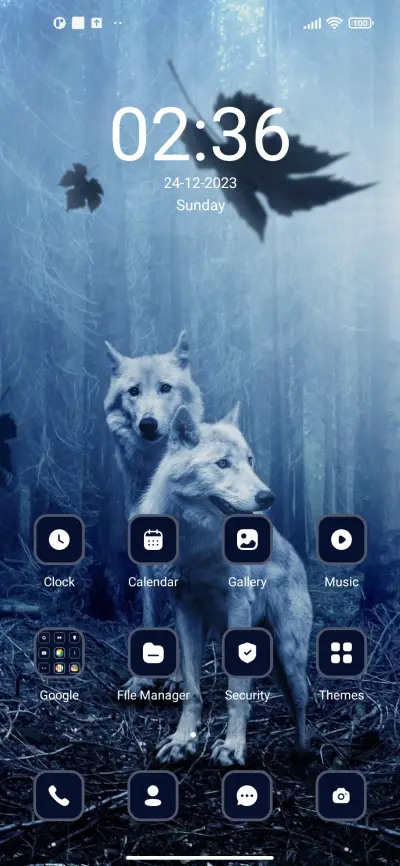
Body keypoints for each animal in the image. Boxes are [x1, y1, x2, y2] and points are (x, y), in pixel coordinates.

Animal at [104, 333, 203, 690]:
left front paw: (178, 678)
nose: (148, 424)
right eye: (133, 391)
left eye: (165, 387)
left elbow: (181, 625)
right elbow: (150, 618)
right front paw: (142, 678)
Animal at [139, 405, 313, 766]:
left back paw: (303, 752)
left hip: (290, 654)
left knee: (302, 702)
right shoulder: (185, 609)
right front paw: (182, 741)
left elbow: (237, 694)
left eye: (250, 460)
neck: (197, 545)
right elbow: (192, 690)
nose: (268, 497)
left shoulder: (237, 606)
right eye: (222, 463)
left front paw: (233, 747)